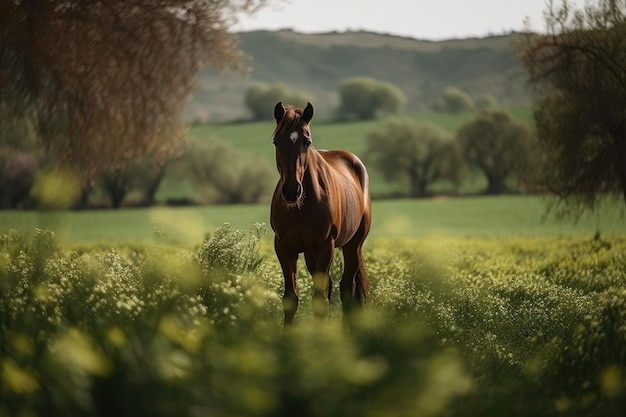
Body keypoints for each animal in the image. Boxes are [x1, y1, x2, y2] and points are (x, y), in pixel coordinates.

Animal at [270, 101, 370, 324]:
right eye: (276, 141)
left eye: (307, 142)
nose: (291, 190)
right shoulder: (284, 248)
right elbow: (291, 298)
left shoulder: (325, 246)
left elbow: (320, 300)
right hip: (310, 253)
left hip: (353, 244)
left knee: (346, 288)